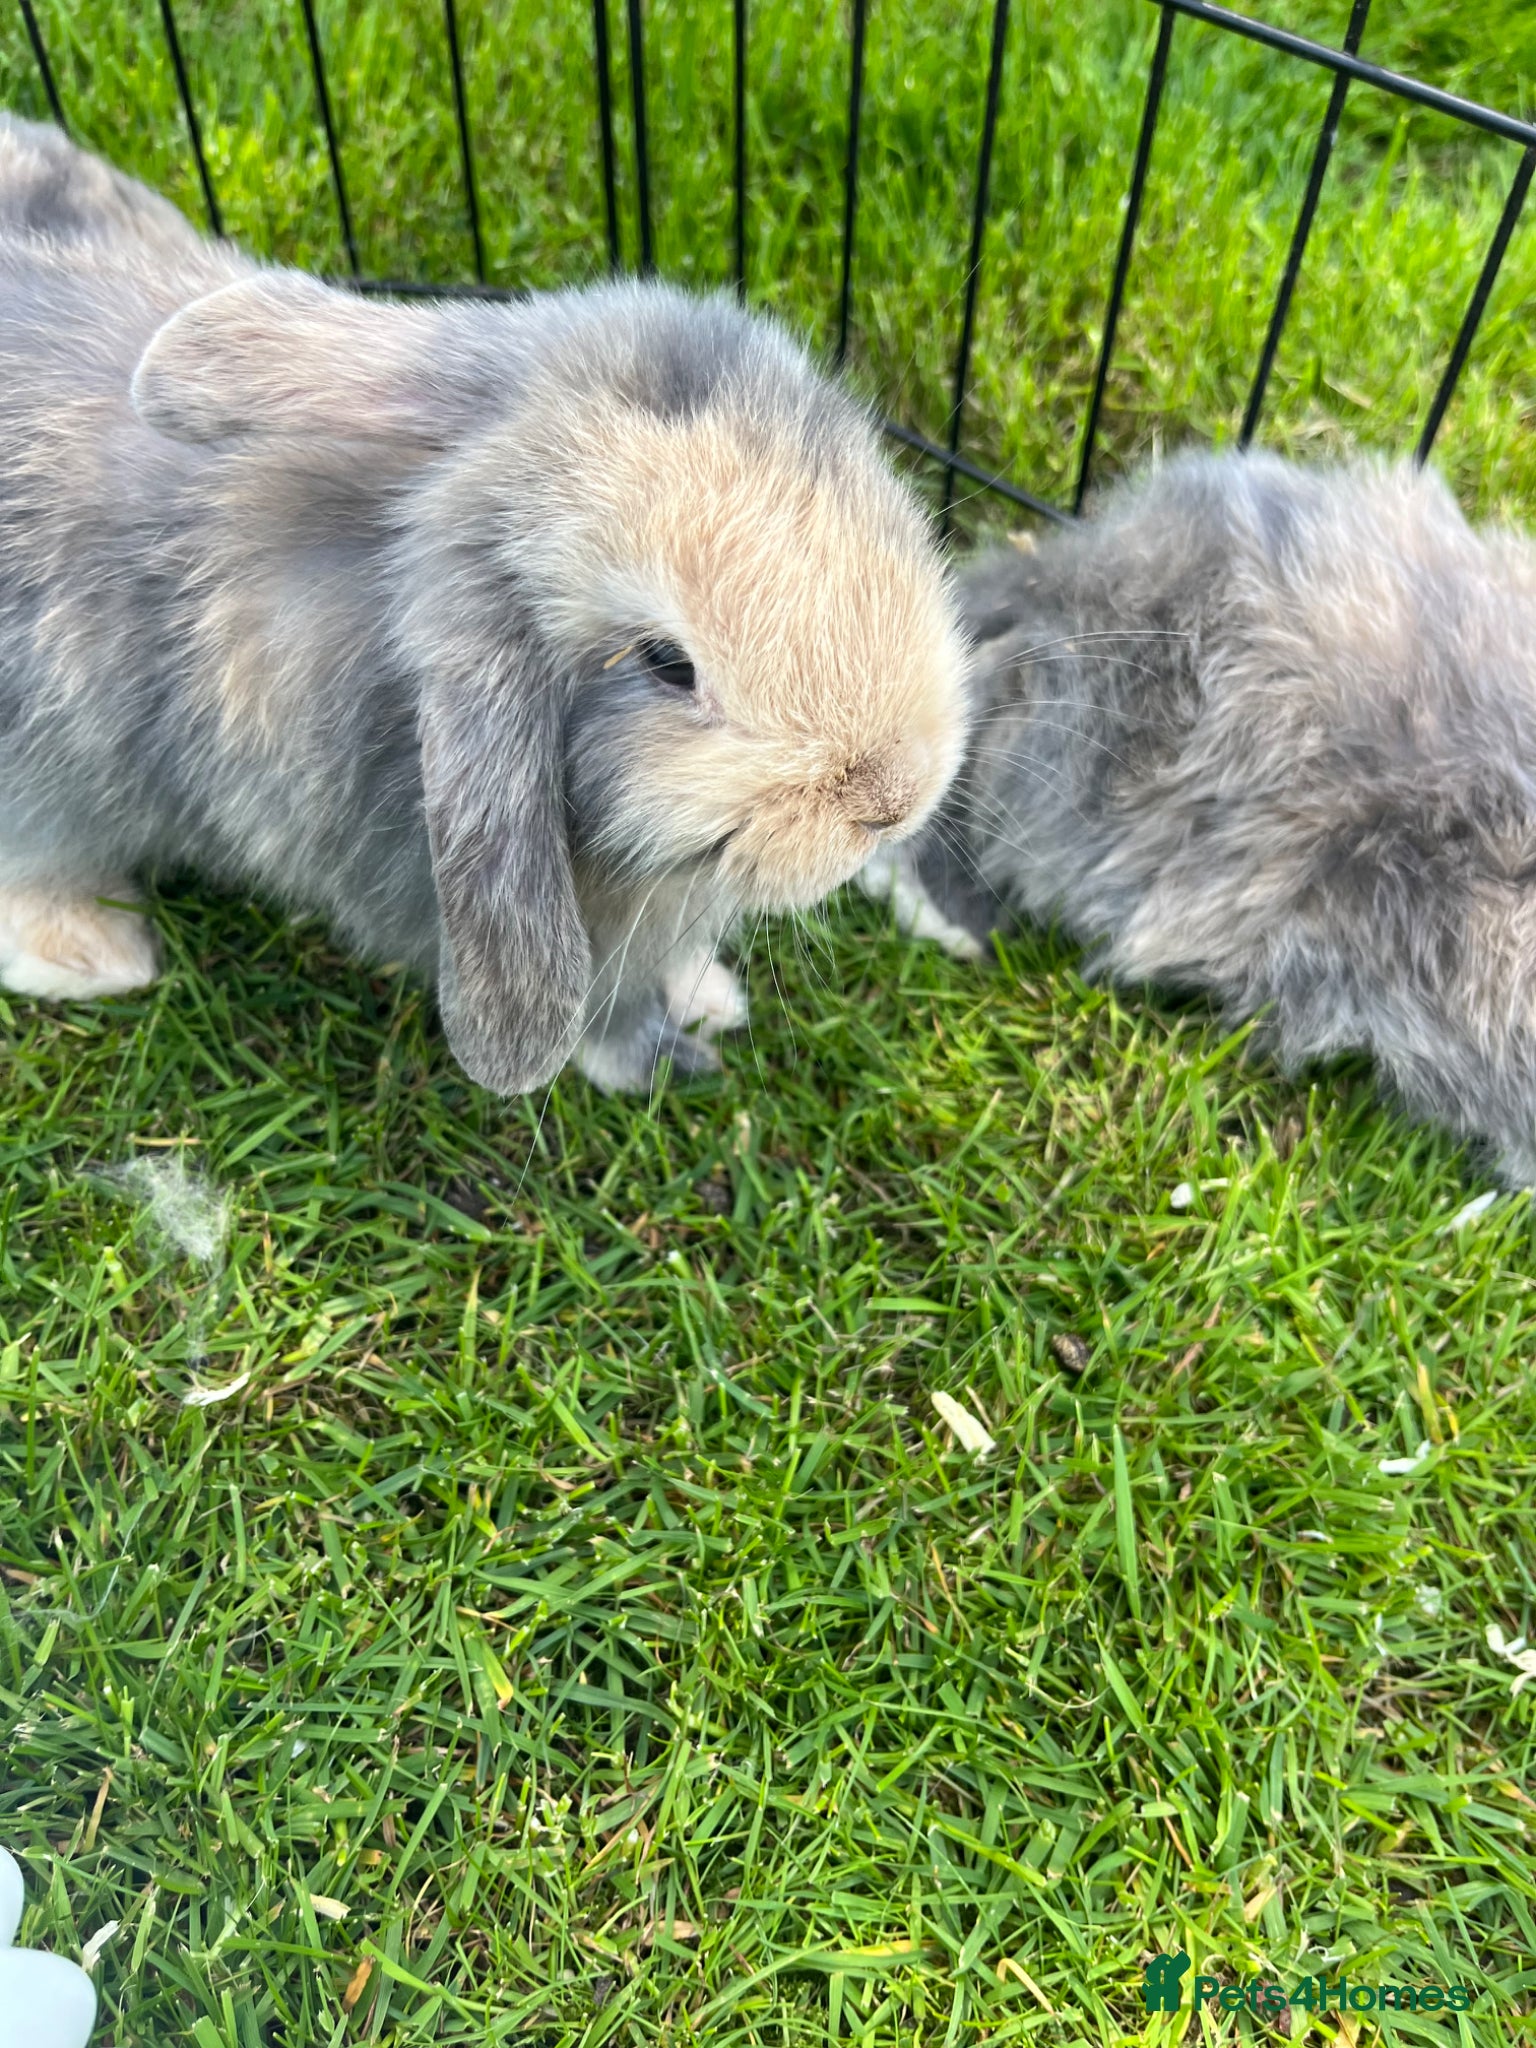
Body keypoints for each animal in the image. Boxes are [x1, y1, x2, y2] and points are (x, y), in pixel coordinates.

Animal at [0, 126, 969, 1096]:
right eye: (667, 664)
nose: (894, 801)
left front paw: (712, 995)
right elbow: (604, 1018)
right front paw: (666, 1059)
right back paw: (100, 952)